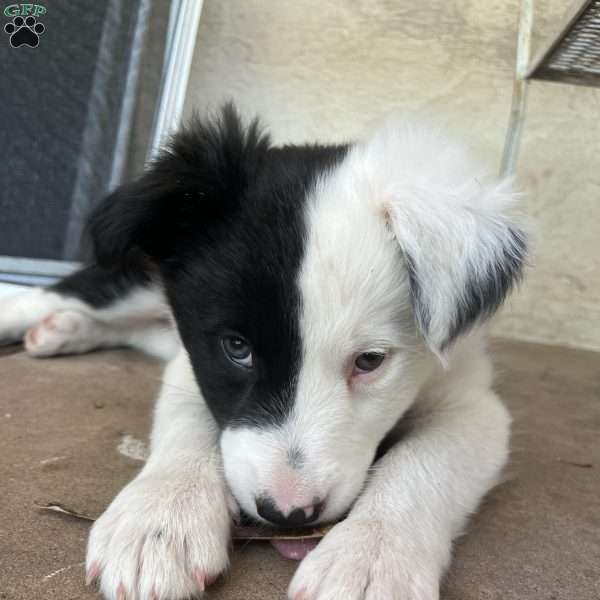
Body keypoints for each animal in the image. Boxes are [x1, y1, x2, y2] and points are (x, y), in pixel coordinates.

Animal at [1, 105, 524, 596]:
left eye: (370, 361)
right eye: (237, 348)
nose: (288, 514)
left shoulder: (471, 403)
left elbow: (422, 464)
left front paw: (369, 557)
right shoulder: (194, 363)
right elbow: (190, 421)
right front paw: (160, 518)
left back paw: (62, 332)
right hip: (131, 281)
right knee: (57, 296)